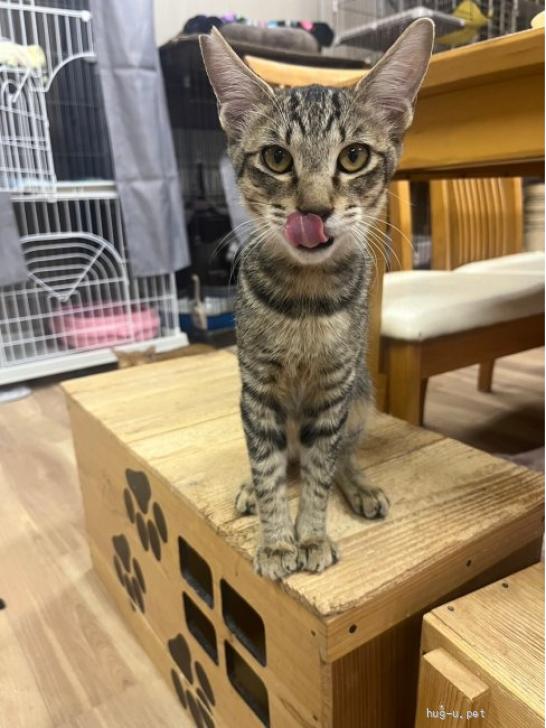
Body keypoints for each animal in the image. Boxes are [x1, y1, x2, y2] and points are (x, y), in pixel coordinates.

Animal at [200, 20, 434, 579]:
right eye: (276, 158)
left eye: (354, 156)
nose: (314, 209)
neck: (306, 301)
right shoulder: (258, 390)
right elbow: (267, 467)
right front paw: (276, 542)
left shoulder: (334, 393)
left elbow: (320, 471)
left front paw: (311, 534)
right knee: (279, 458)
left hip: (362, 397)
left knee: (340, 455)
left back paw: (359, 485)